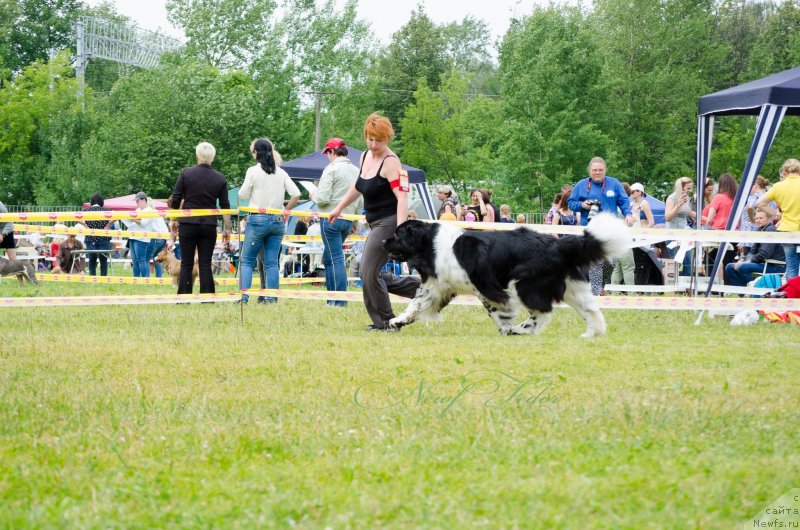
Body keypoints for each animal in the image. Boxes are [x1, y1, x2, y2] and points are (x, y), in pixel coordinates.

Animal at [382, 212, 632, 336]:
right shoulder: (437, 286)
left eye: (398, 235)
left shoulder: (484, 286)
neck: (431, 244)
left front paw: (504, 327)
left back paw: (520, 330)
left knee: (542, 312)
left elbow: (495, 309)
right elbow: (416, 304)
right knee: (591, 310)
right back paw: (592, 334)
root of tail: (560, 243)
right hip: (572, 287)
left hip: (523, 283)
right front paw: (397, 321)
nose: (384, 242)